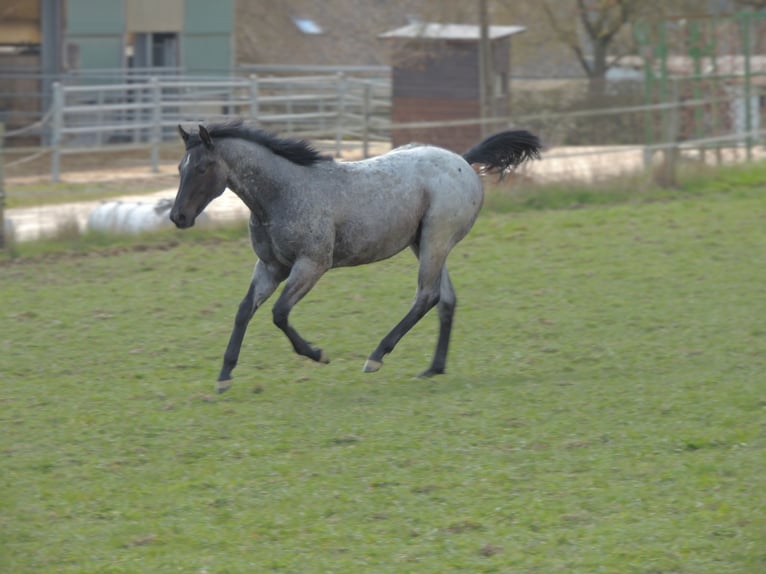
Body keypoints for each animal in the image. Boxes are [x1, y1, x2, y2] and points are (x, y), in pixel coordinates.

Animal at [170, 121, 541, 393]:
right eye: (179, 167)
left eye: (202, 168)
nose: (178, 217)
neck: (283, 194)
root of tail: (462, 161)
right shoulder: (271, 267)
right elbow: (244, 310)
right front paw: (224, 376)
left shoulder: (312, 264)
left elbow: (279, 313)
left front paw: (318, 354)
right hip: (425, 243)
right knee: (446, 299)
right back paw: (433, 369)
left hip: (435, 240)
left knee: (427, 295)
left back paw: (376, 357)